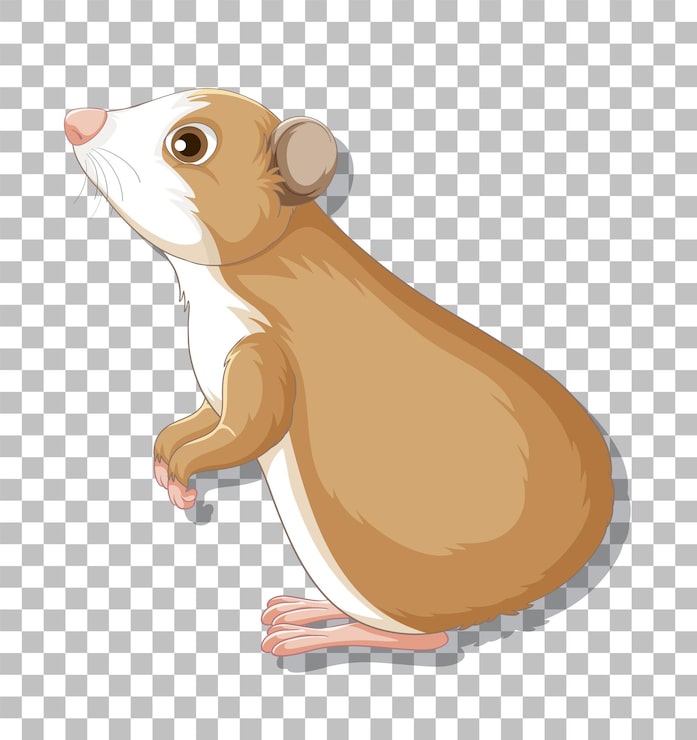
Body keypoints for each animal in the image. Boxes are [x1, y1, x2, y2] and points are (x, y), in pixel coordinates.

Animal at [65, 89, 614, 656]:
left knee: (429, 637)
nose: (78, 120)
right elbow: (206, 417)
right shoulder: (216, 379)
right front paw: (167, 453)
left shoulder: (263, 355)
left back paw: (312, 633)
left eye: (189, 144)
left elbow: (249, 429)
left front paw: (186, 465)